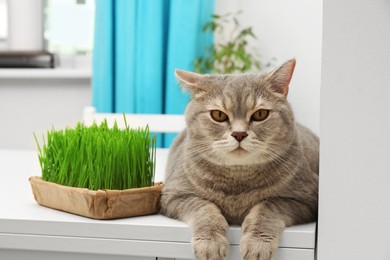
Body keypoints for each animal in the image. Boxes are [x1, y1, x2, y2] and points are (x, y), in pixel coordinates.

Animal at [160, 59, 318, 260]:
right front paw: (210, 242)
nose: (239, 133)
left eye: (260, 114)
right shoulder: (174, 194)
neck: (237, 180)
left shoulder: (305, 199)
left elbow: (267, 206)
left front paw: (257, 243)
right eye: (218, 115)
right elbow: (204, 207)